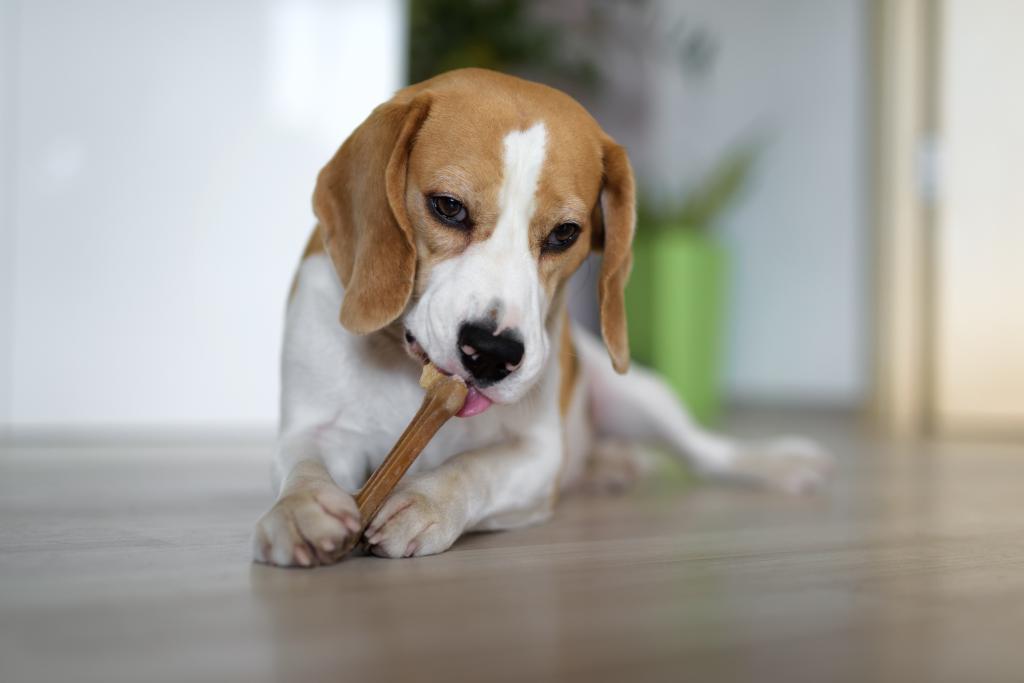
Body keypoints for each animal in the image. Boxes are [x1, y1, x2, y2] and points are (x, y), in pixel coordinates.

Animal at [253, 69, 831, 569]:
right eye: (448, 206)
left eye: (564, 234)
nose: (492, 352)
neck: (409, 373)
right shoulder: (315, 429)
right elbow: (304, 467)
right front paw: (301, 509)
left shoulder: (538, 454)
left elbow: (473, 469)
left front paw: (427, 501)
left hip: (639, 394)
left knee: (704, 450)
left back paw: (770, 463)